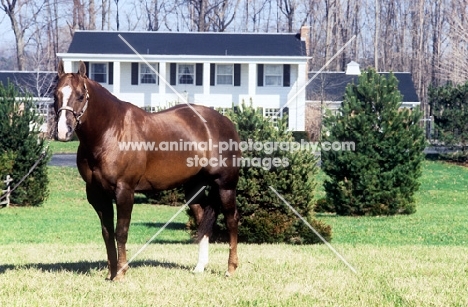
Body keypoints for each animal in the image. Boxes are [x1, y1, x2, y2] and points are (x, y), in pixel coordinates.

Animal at [53, 60, 239, 282]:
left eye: (81, 95)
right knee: (203, 220)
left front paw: (121, 273)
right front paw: (111, 273)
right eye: (56, 94)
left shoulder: (124, 191)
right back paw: (200, 267)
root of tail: (226, 123)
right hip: (194, 188)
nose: (63, 132)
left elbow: (121, 231)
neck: (110, 132)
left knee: (231, 220)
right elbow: (107, 233)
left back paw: (231, 269)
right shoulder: (98, 194)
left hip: (225, 186)